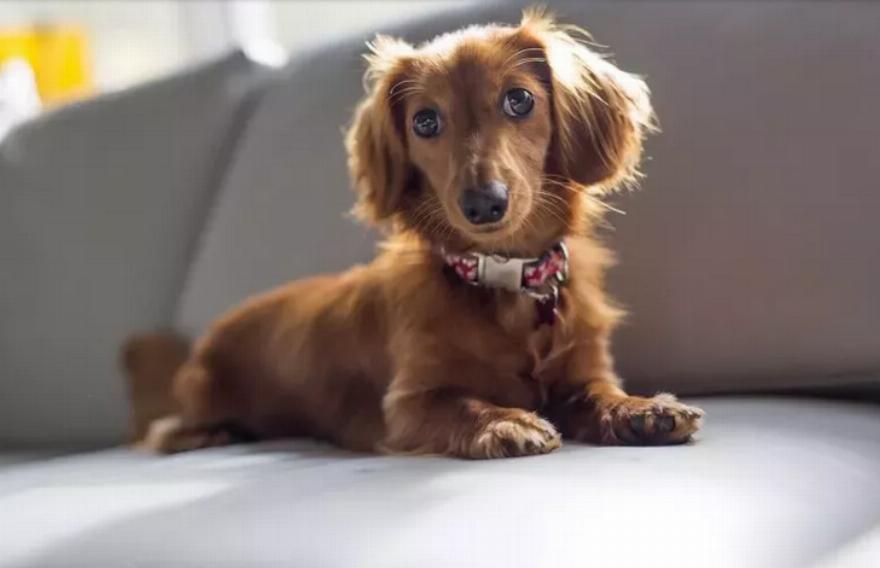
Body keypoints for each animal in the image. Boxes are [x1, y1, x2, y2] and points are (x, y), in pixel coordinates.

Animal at [133, 9, 703, 458]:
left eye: (519, 100)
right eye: (425, 121)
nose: (483, 203)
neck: (505, 279)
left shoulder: (583, 370)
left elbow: (599, 393)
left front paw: (642, 409)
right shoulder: (407, 404)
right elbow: (460, 403)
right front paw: (503, 420)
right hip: (199, 398)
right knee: (164, 430)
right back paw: (207, 434)